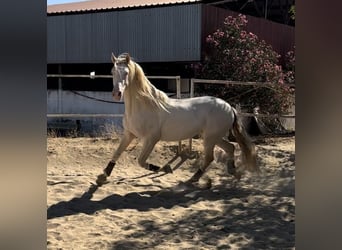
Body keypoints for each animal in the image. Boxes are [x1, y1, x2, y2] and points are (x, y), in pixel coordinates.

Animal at [95, 52, 258, 186]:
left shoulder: (151, 139)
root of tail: (229, 107)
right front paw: (103, 176)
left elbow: (141, 161)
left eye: (126, 72)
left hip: (210, 138)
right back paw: (232, 172)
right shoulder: (129, 134)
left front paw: (166, 168)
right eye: (112, 72)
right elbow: (117, 153)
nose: (116, 94)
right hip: (212, 136)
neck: (143, 106)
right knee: (230, 147)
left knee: (210, 157)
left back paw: (195, 177)